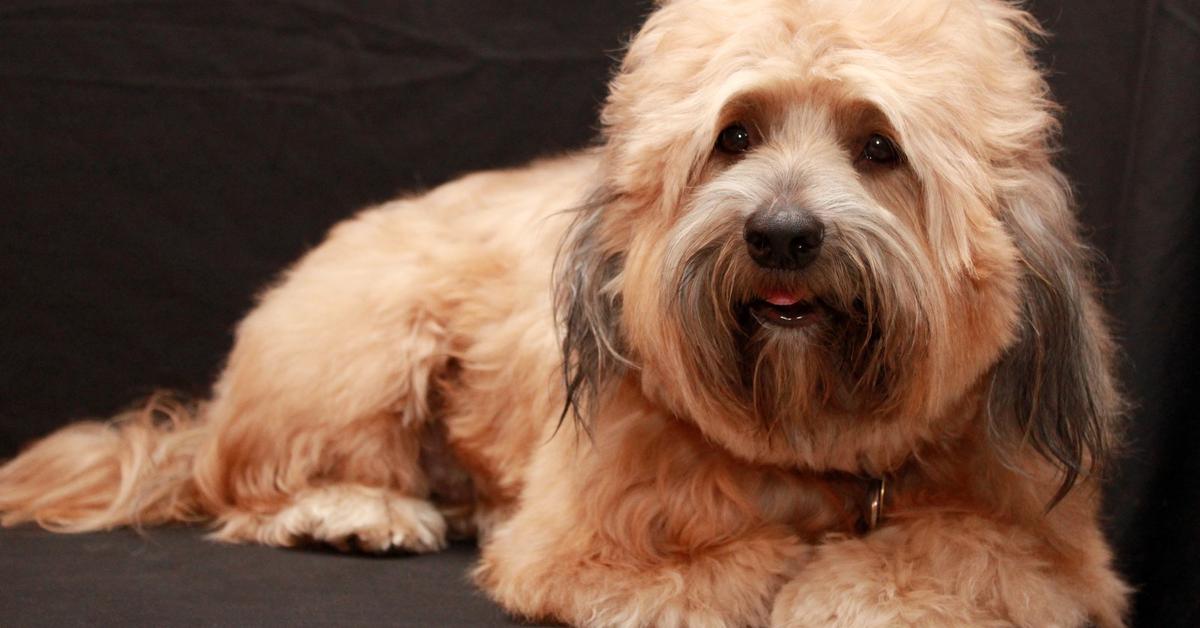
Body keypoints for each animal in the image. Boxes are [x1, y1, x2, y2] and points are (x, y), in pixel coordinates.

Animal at [0, 0, 1128, 624]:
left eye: (879, 147)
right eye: (735, 135)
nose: (780, 234)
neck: (814, 441)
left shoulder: (1052, 549)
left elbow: (970, 553)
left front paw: (857, 583)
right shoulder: (590, 539)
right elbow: (719, 564)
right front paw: (802, 568)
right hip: (360, 345)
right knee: (256, 482)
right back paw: (357, 511)